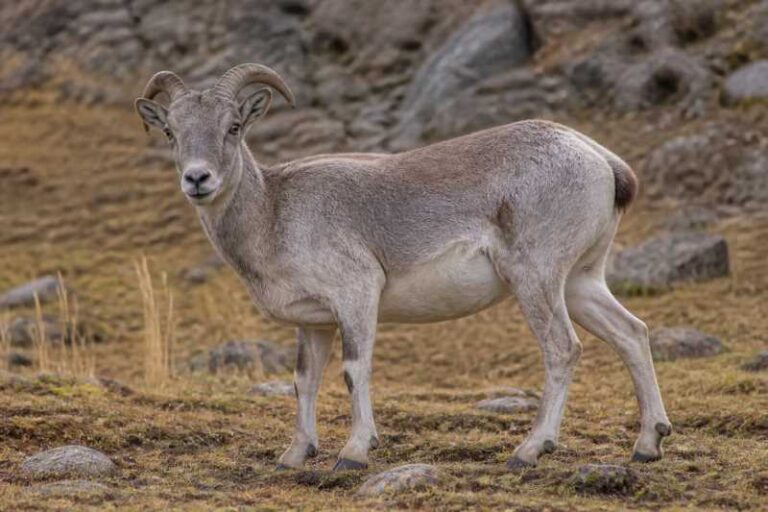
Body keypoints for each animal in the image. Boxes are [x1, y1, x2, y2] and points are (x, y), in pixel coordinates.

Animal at [135, 63, 672, 471]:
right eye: (171, 132)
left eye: (233, 127)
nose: (198, 179)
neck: (273, 213)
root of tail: (602, 162)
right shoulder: (314, 324)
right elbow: (305, 381)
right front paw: (294, 456)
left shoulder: (356, 298)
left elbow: (354, 370)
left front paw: (353, 454)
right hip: (581, 284)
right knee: (632, 333)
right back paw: (648, 445)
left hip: (536, 281)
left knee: (563, 348)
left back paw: (528, 451)